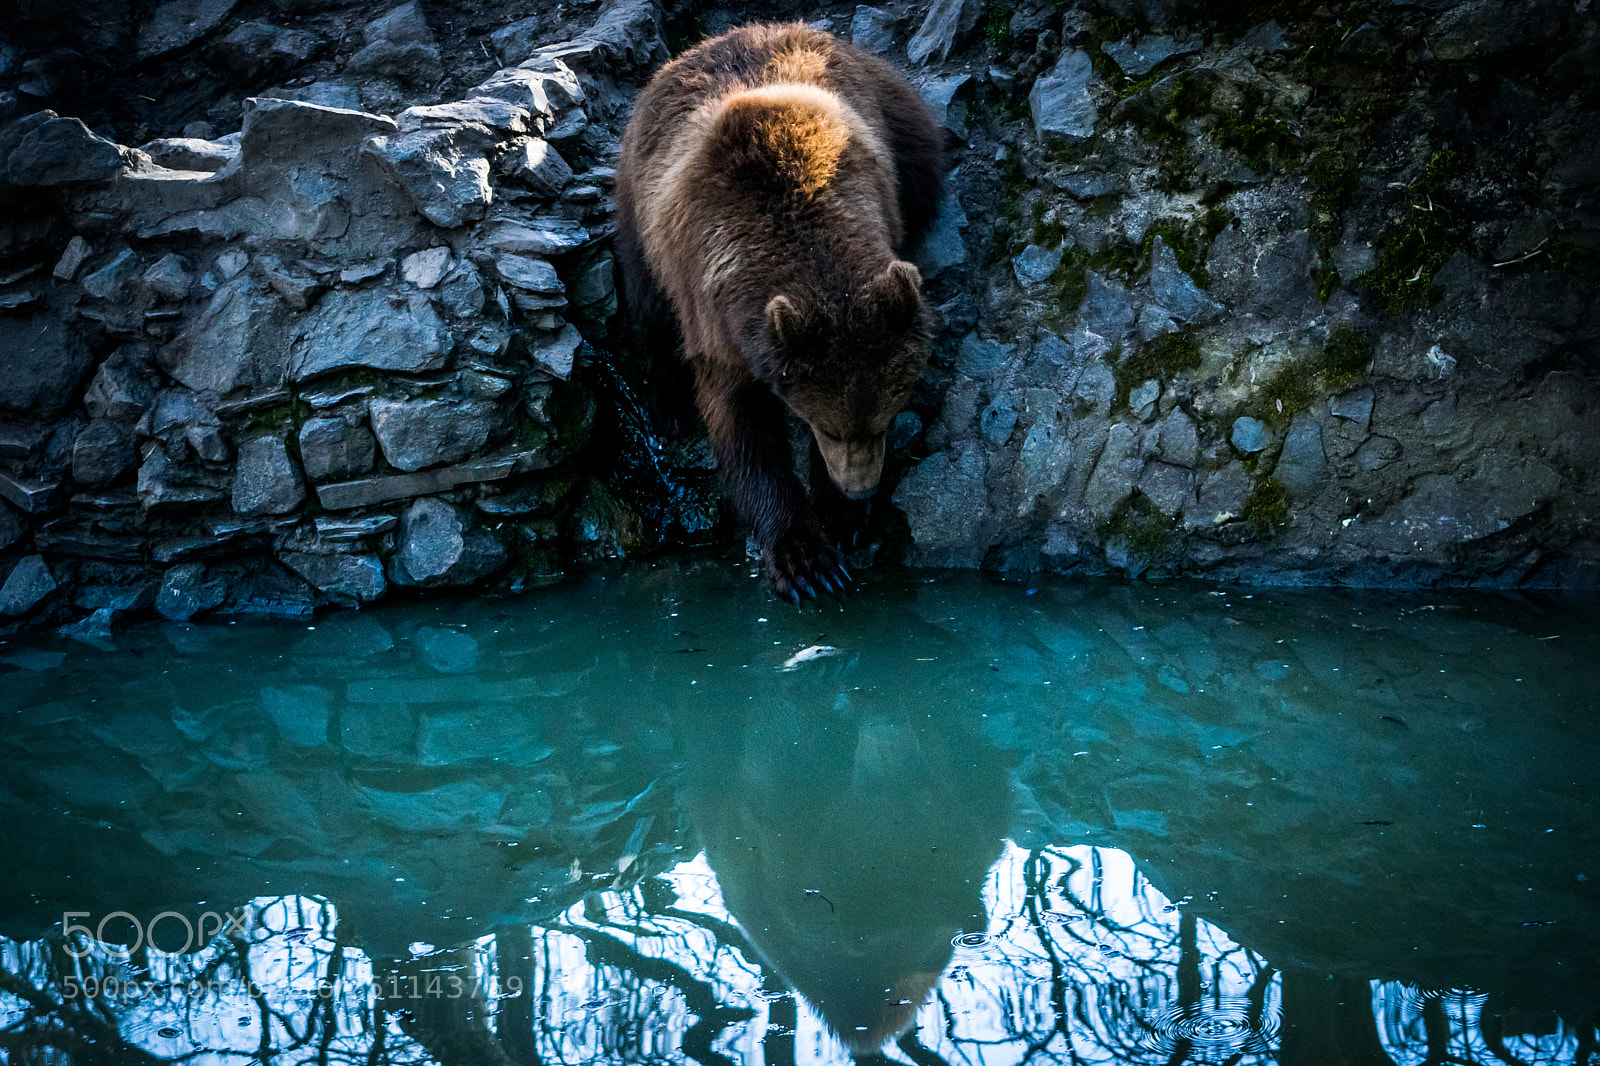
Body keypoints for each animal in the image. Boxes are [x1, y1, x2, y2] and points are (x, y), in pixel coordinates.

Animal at [615, 22, 944, 601]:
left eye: (884, 419)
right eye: (831, 428)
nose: (859, 490)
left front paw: (839, 519)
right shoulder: (714, 308)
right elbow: (741, 425)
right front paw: (807, 561)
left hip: (902, 131)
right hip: (639, 209)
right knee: (648, 304)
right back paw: (669, 407)